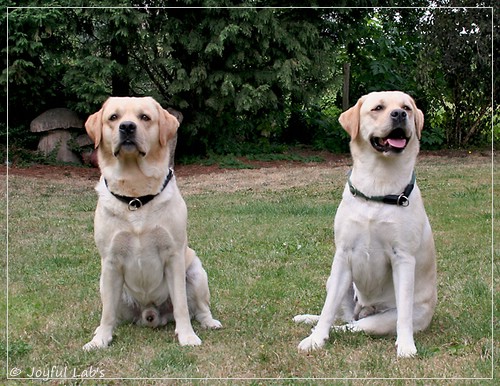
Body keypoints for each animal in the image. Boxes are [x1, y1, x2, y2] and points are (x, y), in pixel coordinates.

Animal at [83, 97, 220, 350]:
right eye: (113, 117)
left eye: (145, 117)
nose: (127, 127)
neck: (136, 197)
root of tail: (151, 313)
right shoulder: (110, 261)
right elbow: (107, 313)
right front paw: (100, 339)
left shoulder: (173, 256)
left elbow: (182, 306)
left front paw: (187, 336)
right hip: (104, 282)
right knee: (113, 311)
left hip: (196, 272)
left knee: (200, 308)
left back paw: (209, 322)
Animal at [294, 92, 436, 358]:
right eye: (378, 108)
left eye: (407, 108)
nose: (399, 115)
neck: (377, 186)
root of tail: (365, 309)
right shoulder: (343, 255)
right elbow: (328, 309)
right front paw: (315, 340)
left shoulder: (403, 258)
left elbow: (403, 314)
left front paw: (406, 345)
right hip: (338, 282)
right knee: (342, 317)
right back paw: (308, 320)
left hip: (381, 320)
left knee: (352, 326)